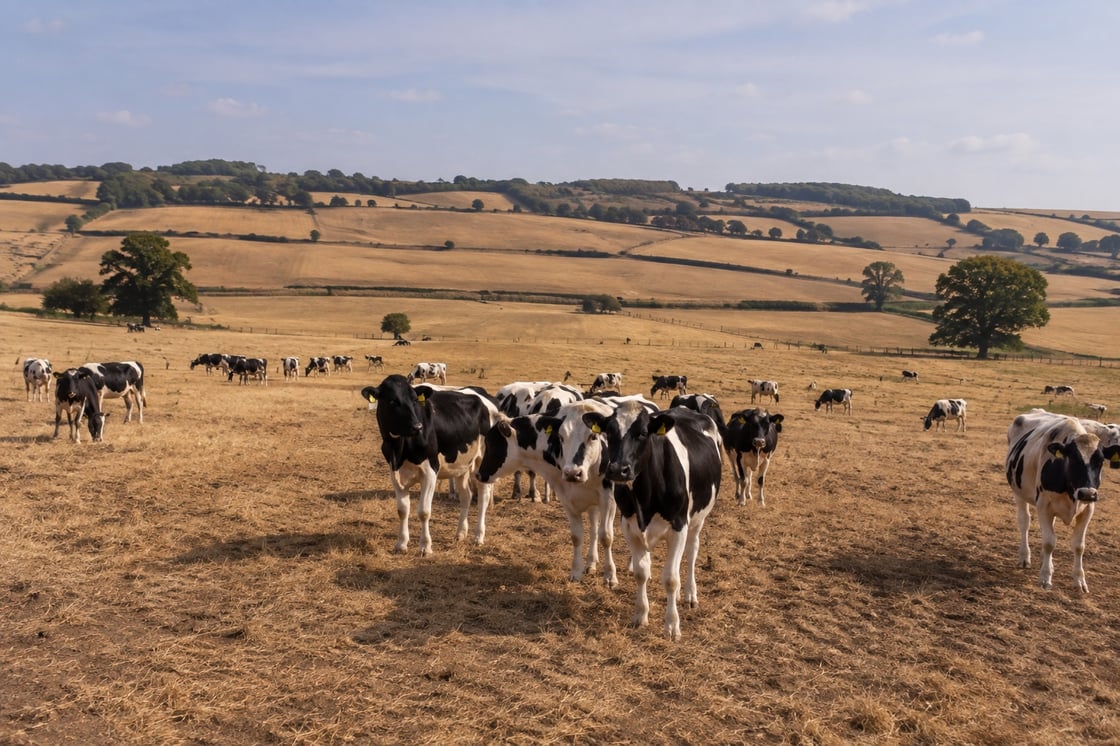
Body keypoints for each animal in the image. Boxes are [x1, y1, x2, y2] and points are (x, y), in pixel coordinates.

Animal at [360, 375, 494, 555]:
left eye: (415, 400)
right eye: (392, 401)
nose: (417, 426)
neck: (399, 450)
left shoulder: (430, 471)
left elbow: (424, 511)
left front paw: (425, 546)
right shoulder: (394, 473)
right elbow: (402, 510)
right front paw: (401, 544)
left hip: (482, 460)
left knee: (483, 497)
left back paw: (478, 536)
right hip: (461, 465)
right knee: (466, 495)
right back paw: (460, 533)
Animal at [583, 401, 722, 640]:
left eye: (642, 433)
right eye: (609, 431)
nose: (618, 470)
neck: (645, 495)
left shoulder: (679, 526)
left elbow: (671, 579)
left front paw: (672, 626)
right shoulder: (629, 526)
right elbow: (641, 573)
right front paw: (641, 615)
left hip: (698, 519)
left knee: (692, 551)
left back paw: (690, 594)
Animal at [1006, 410, 1120, 592]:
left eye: (1101, 460)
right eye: (1072, 459)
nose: (1087, 493)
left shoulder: (1088, 509)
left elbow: (1079, 546)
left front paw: (1079, 580)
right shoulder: (1043, 506)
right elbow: (1049, 543)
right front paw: (1045, 577)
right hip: (1018, 492)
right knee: (1024, 522)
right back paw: (1025, 557)